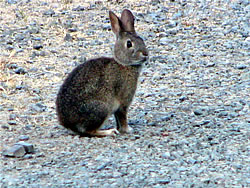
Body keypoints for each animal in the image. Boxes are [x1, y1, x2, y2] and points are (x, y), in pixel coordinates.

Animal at [55, 9, 148, 137]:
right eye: (129, 44)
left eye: (142, 40)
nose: (145, 54)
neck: (124, 64)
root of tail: (68, 122)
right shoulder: (123, 102)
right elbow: (122, 117)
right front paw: (127, 130)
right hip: (101, 109)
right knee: (90, 131)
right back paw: (109, 132)